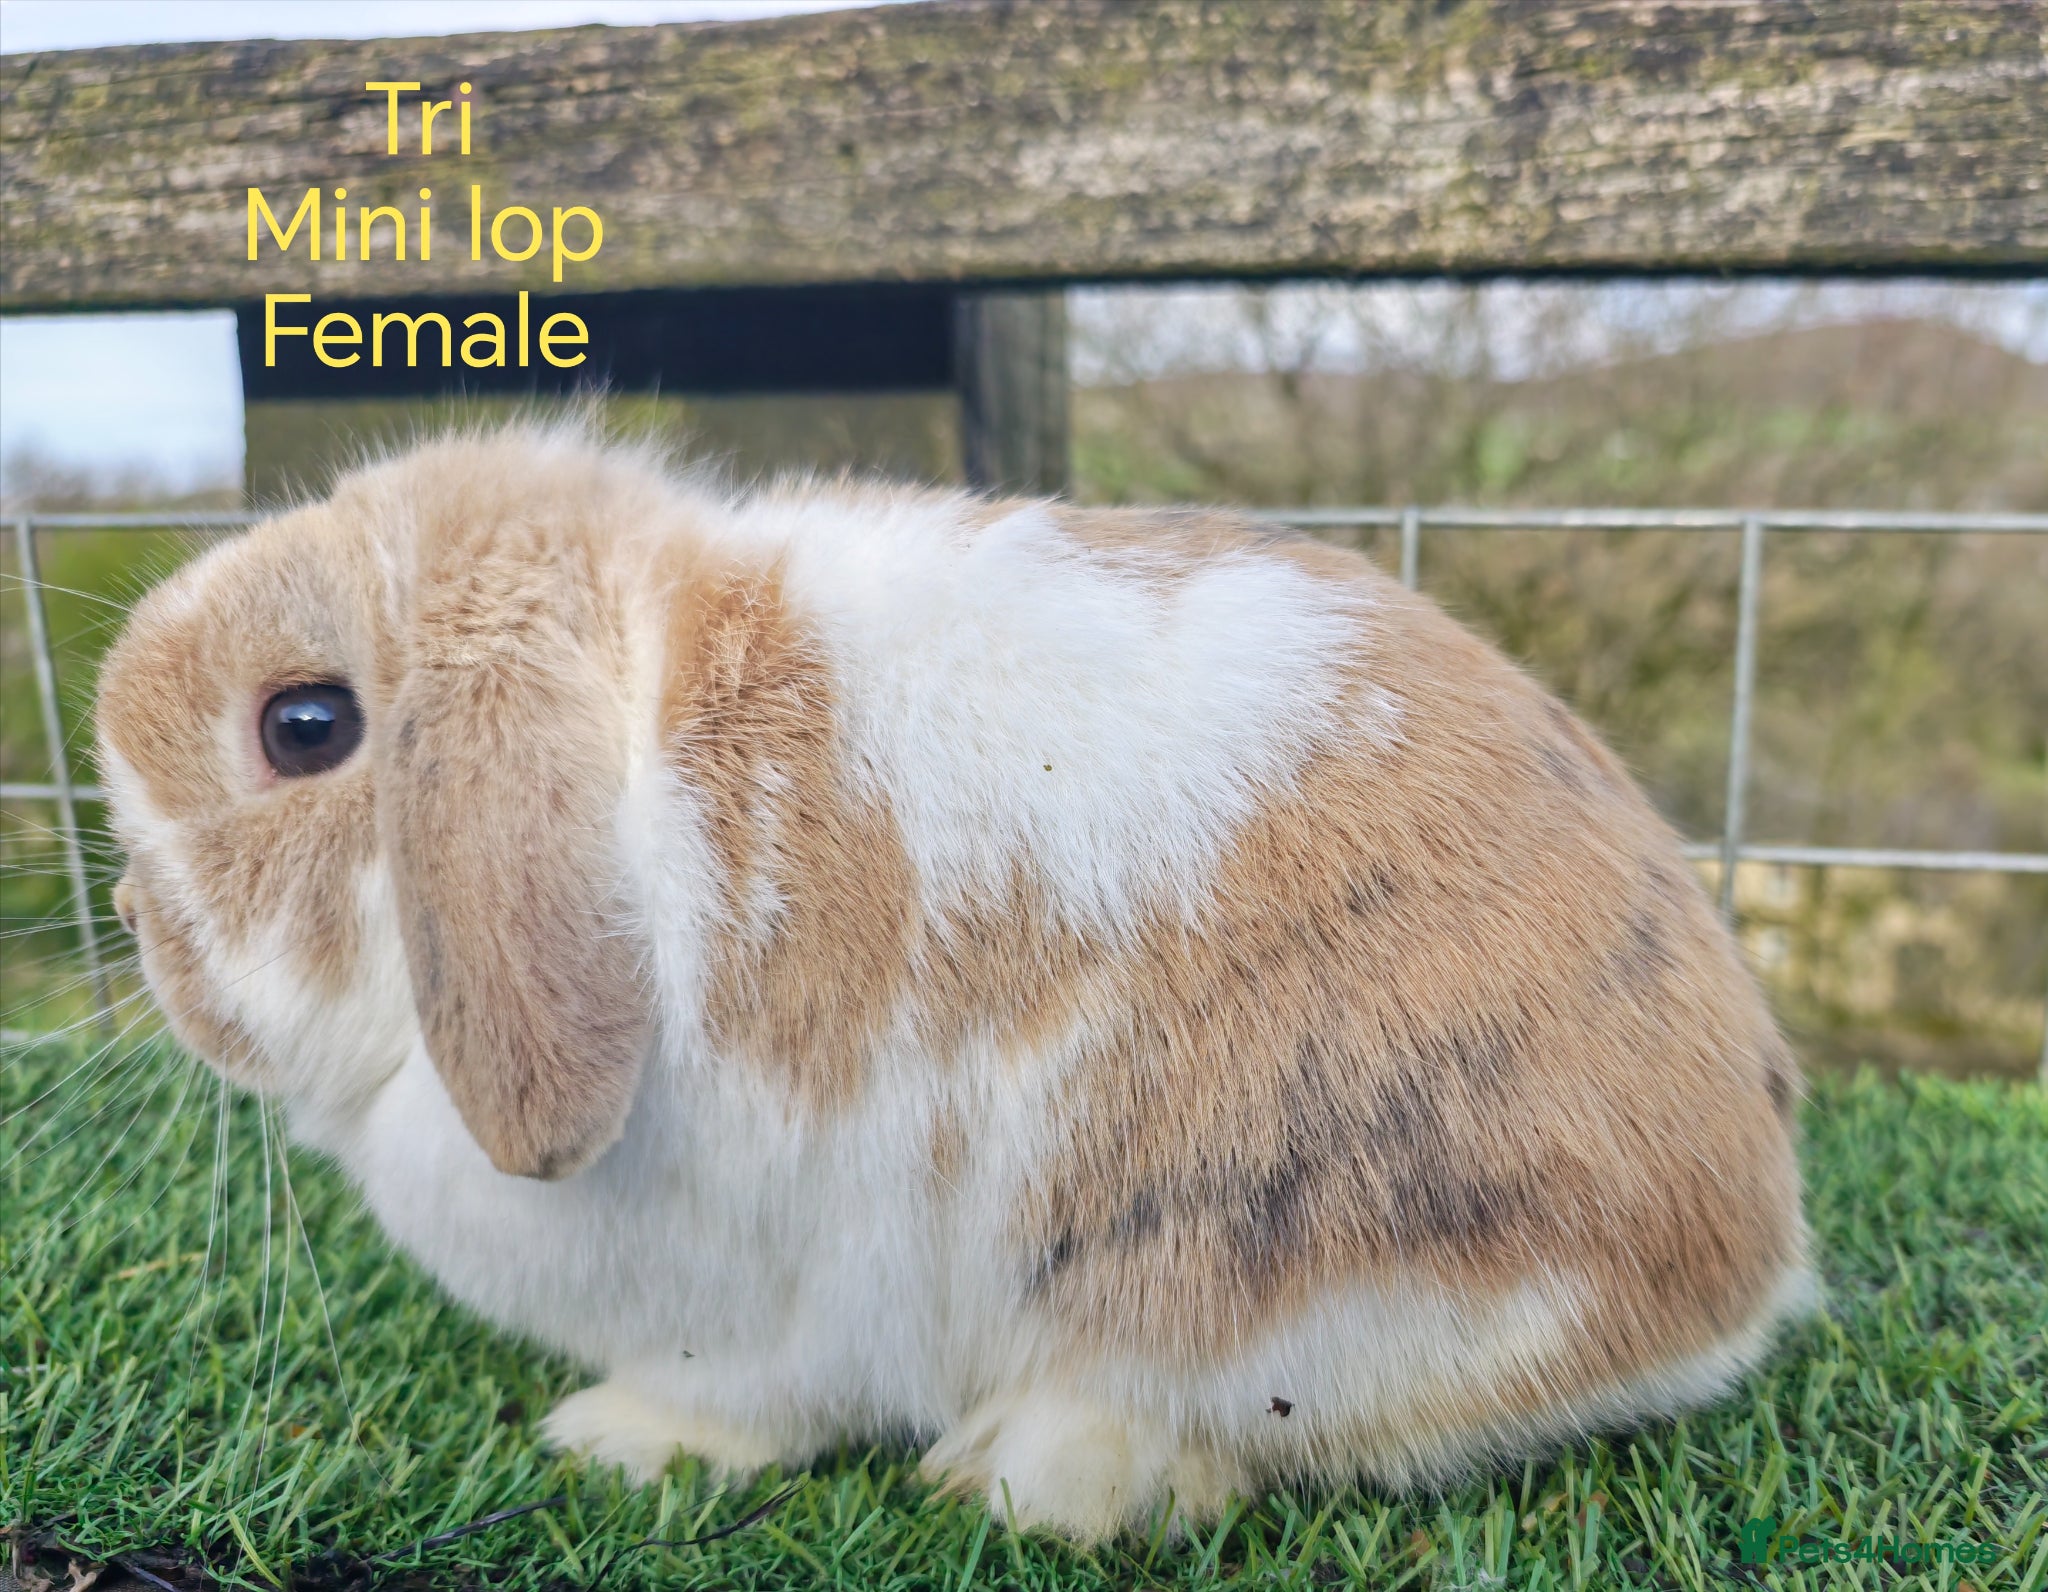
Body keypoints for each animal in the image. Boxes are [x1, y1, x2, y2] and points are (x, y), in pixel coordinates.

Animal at [97, 423, 1809, 1542]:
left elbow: (743, 1398)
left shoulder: (774, 1295)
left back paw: (1024, 1475)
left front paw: (605, 1441)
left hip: (1286, 1262)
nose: (143, 933)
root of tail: (1743, 1265)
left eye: (305, 726)